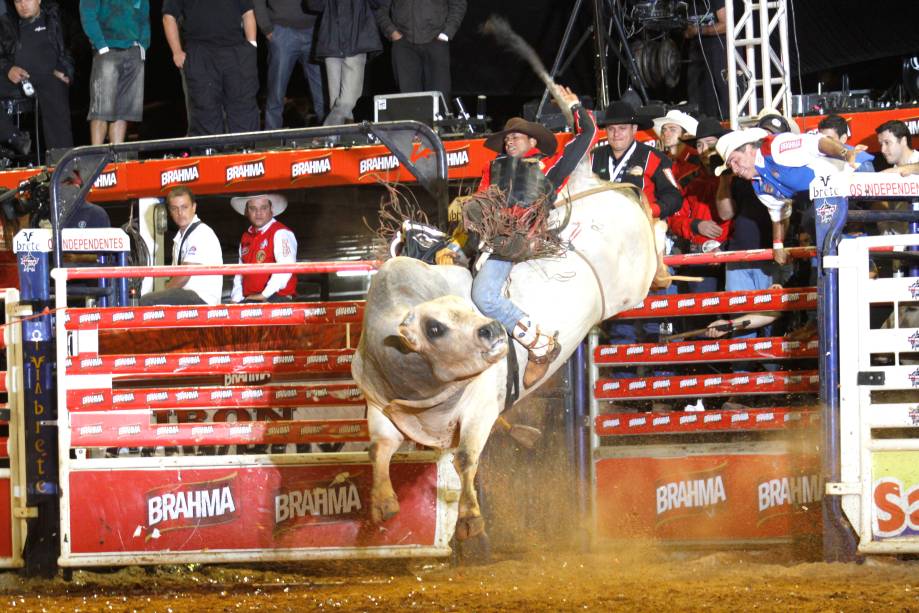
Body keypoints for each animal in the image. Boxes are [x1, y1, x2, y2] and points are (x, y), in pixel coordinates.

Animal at [352, 159, 660, 540]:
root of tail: (591, 186)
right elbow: (378, 449)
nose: (494, 329)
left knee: (655, 231)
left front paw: (469, 520)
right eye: (435, 327)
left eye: (467, 308)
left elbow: (465, 457)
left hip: (634, 278)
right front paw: (382, 504)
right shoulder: (380, 407)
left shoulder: (482, 404)